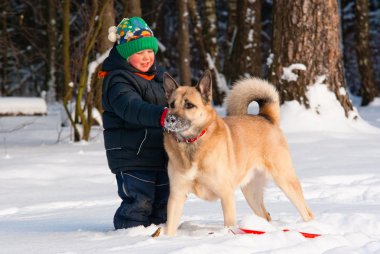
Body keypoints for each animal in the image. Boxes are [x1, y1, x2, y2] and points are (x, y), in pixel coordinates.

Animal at [162, 70, 314, 236]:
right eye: (171, 104)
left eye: (189, 105)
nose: (170, 119)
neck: (192, 143)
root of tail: (265, 117)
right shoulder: (176, 196)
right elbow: (170, 228)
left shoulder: (226, 195)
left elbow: (229, 225)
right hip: (251, 191)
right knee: (265, 216)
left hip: (285, 180)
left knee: (307, 212)